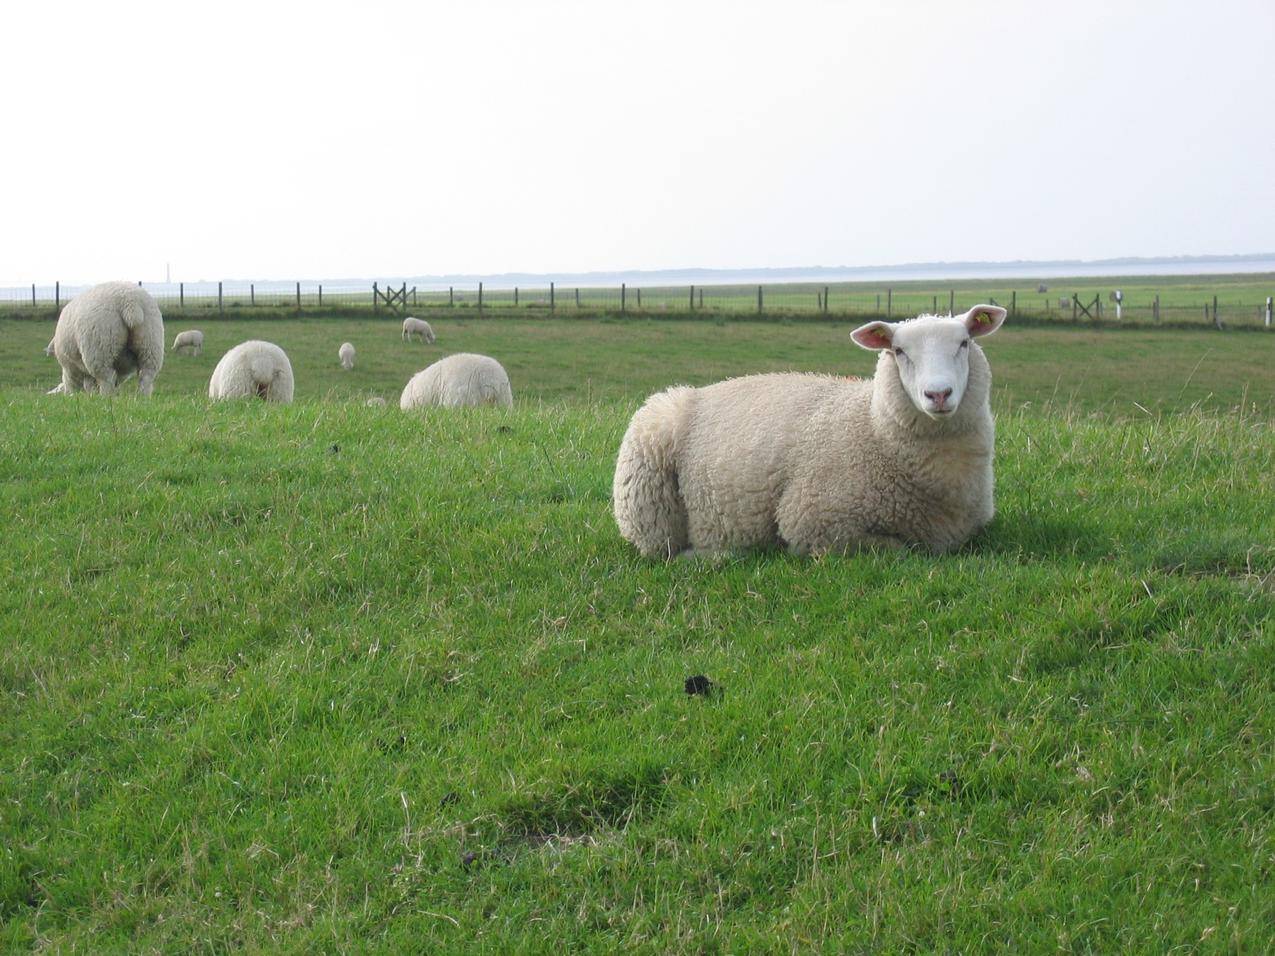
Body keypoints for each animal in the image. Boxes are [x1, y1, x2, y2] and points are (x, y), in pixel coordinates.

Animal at [612, 304, 1009, 560]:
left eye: (964, 343)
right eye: (898, 351)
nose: (938, 394)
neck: (872, 429)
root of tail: (699, 390)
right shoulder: (816, 521)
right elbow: (897, 550)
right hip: (649, 504)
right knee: (661, 550)